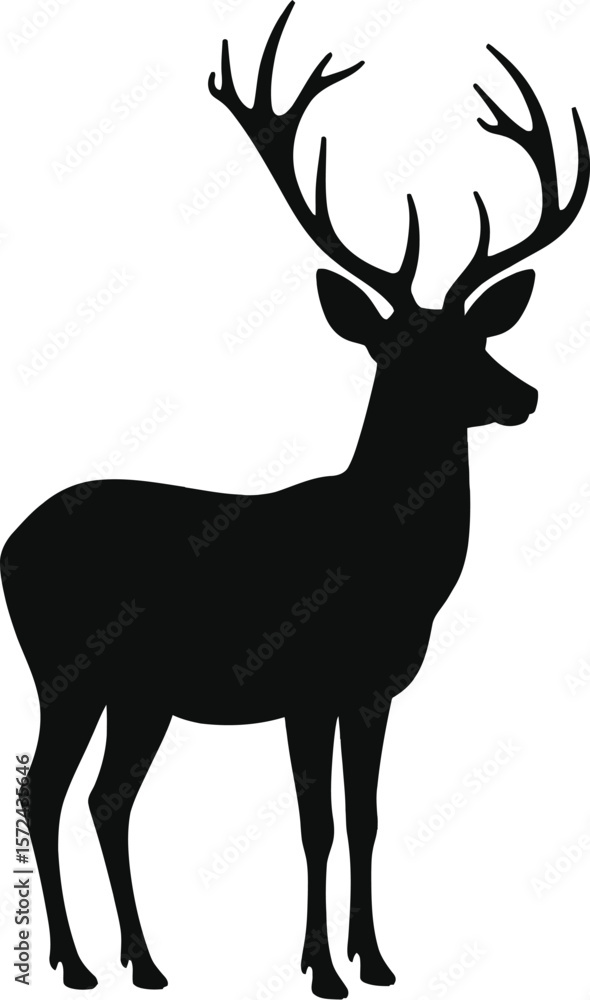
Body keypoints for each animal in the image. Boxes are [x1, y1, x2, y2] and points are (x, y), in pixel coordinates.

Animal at [2, 2, 588, 997]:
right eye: (404, 356)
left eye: (478, 338)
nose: (527, 396)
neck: (389, 569)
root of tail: (8, 545)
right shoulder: (308, 682)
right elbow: (314, 824)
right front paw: (321, 970)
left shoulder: (376, 689)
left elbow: (367, 818)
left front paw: (376, 959)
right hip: (65, 667)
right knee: (42, 790)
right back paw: (78, 965)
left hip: (140, 693)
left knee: (109, 798)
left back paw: (145, 961)